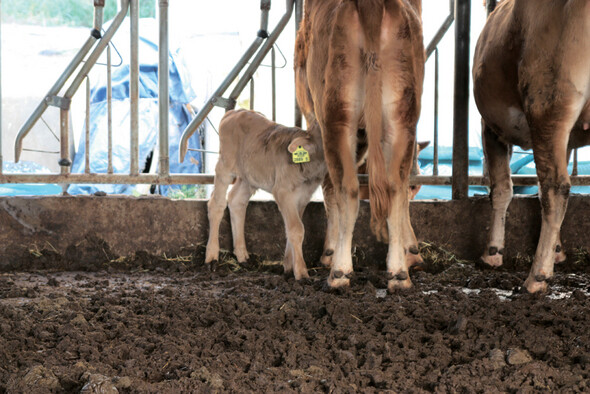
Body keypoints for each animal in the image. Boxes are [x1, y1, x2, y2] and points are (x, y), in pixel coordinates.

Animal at [205, 108, 326, 280]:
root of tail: (236, 111)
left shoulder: (304, 196)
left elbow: (292, 228)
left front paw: (288, 267)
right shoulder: (283, 191)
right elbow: (297, 228)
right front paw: (302, 273)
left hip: (249, 176)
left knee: (236, 201)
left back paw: (243, 257)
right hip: (224, 166)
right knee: (216, 204)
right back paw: (212, 258)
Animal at [296, 0, 426, 290]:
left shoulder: (315, 119)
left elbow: (329, 187)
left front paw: (329, 252)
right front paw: (411, 251)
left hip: (337, 115)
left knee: (347, 188)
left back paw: (339, 271)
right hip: (402, 115)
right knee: (396, 187)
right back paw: (399, 273)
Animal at [474, 0, 590, 292]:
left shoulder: (490, 126)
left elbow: (501, 189)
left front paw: (492, 253)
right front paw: (558, 251)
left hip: (547, 101)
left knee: (556, 188)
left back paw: (536, 277)